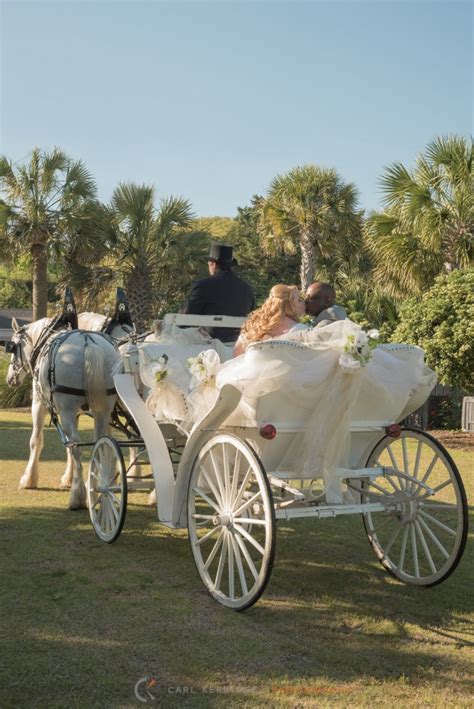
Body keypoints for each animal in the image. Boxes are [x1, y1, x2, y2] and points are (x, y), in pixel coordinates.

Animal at [6, 316, 121, 508]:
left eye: (13, 348)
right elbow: (67, 449)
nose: (9, 379)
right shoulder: (76, 412)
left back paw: (78, 495)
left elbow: (36, 441)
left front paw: (29, 479)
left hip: (66, 409)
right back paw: (94, 487)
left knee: (76, 445)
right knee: (98, 442)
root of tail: (89, 342)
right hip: (103, 409)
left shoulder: (39, 403)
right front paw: (68, 478)